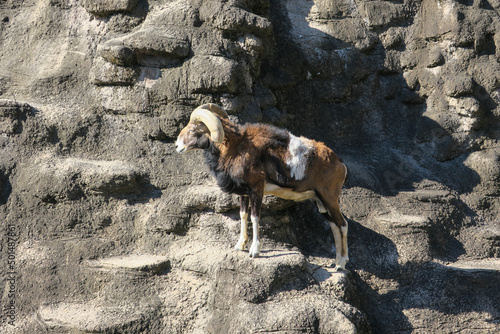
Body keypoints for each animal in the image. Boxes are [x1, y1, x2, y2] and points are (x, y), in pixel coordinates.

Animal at [178, 103, 350, 270]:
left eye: (193, 129)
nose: (177, 145)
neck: (236, 148)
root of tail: (340, 165)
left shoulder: (256, 191)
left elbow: (254, 217)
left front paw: (254, 251)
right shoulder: (244, 194)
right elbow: (243, 215)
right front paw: (240, 245)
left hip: (329, 199)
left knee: (342, 225)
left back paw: (341, 264)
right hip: (319, 202)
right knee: (334, 226)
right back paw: (335, 263)